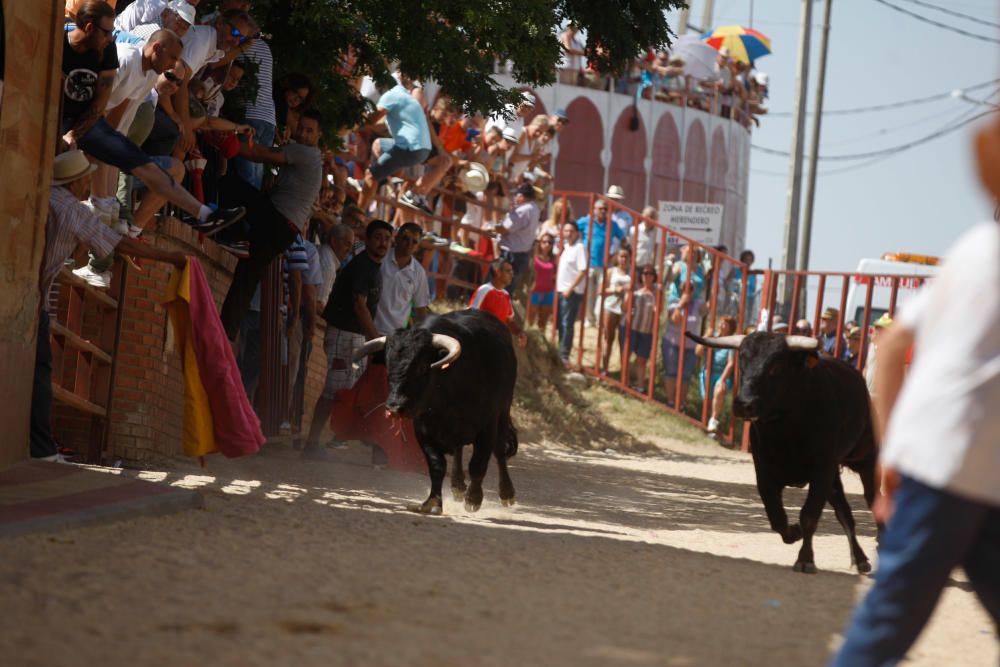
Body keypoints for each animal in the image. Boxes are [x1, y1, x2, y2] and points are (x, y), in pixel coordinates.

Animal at [356, 310, 520, 516]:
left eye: (421, 367)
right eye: (388, 366)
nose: (394, 407)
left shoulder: (487, 425)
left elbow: (478, 464)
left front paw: (473, 499)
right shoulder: (422, 428)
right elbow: (436, 465)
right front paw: (433, 502)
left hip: (503, 412)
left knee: (499, 450)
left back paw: (506, 493)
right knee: (459, 449)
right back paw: (457, 485)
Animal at [684, 332, 880, 572]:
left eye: (775, 367)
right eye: (742, 362)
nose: (744, 404)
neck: (785, 429)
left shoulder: (821, 471)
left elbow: (809, 515)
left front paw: (805, 559)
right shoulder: (765, 472)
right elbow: (776, 516)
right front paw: (794, 532)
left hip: (864, 459)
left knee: (872, 498)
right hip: (834, 476)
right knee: (843, 510)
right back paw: (859, 558)